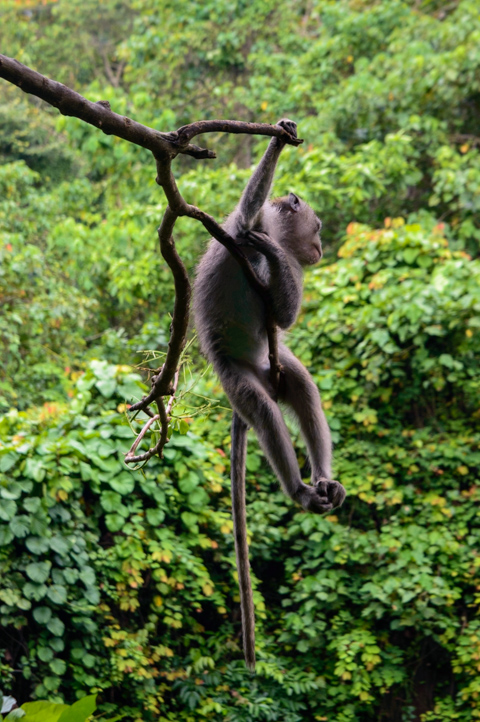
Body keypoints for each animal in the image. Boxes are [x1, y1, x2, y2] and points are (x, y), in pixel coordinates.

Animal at [193, 119, 346, 671]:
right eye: (317, 226)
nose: (320, 248)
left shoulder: (291, 275)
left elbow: (283, 315)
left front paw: (275, 258)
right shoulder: (243, 228)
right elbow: (245, 211)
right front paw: (279, 140)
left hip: (269, 364)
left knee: (299, 386)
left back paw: (322, 481)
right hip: (236, 375)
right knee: (261, 409)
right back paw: (300, 489)